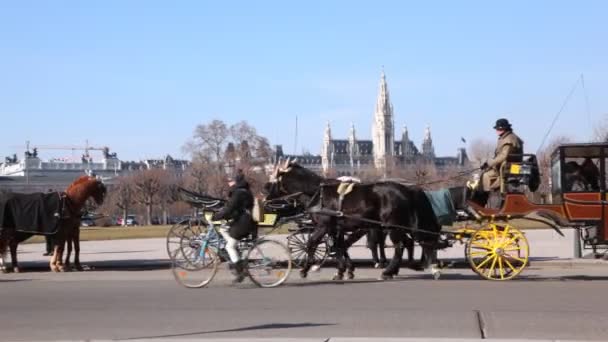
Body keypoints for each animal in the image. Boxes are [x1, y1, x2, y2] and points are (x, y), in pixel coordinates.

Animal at [264, 162, 442, 280]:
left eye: (273, 180)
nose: (265, 200)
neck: (317, 193)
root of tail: (406, 189)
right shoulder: (336, 228)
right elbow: (339, 246)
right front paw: (344, 270)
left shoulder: (323, 226)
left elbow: (312, 243)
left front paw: (306, 269)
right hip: (397, 226)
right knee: (409, 242)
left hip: (391, 225)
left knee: (400, 246)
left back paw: (388, 271)